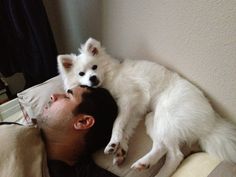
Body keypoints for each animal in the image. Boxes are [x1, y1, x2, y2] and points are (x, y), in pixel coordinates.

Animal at [58, 38, 236, 176]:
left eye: (94, 67)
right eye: (81, 74)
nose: (93, 78)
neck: (109, 79)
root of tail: (212, 122)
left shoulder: (127, 99)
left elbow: (118, 123)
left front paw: (113, 143)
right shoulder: (135, 110)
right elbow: (126, 129)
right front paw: (121, 150)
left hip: (165, 116)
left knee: (175, 155)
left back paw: (153, 168)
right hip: (152, 119)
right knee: (163, 147)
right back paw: (147, 165)